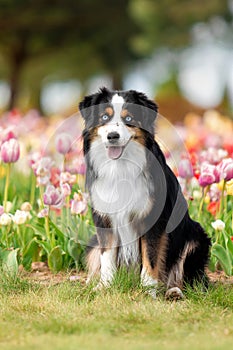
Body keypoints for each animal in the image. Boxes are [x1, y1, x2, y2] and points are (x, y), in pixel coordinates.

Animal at [78, 87, 211, 298]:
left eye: (129, 118)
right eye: (105, 117)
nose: (113, 136)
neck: (121, 169)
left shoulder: (153, 219)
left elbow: (151, 257)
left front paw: (148, 291)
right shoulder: (104, 218)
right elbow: (107, 257)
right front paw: (105, 286)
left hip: (196, 238)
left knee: (191, 280)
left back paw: (173, 291)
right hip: (93, 243)